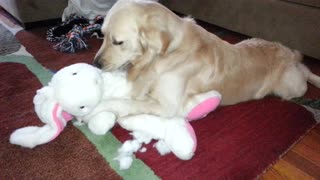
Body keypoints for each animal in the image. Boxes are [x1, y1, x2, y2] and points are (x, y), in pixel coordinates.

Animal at [92, 0, 320, 117]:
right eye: (101, 34)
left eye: (118, 42)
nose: (95, 63)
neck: (170, 52)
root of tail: (289, 53)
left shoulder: (168, 106)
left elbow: (125, 103)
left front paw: (98, 108)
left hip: (290, 87)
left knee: (304, 74)